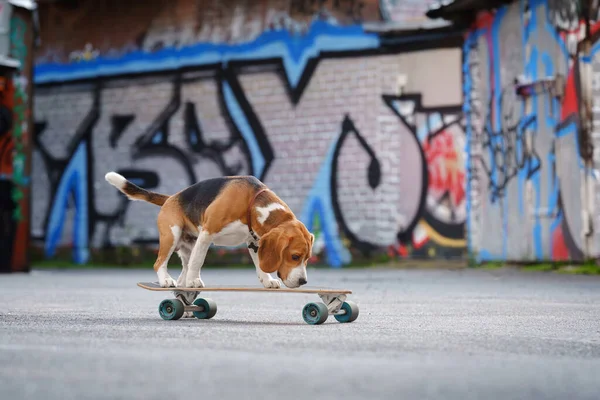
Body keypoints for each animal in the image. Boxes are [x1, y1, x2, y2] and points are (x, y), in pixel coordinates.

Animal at [104, 170, 314, 290]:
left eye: (307, 259)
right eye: (295, 256)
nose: (303, 282)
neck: (252, 202)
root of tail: (172, 197)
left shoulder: (254, 241)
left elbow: (259, 264)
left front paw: (267, 279)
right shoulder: (207, 232)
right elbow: (199, 261)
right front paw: (195, 281)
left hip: (188, 244)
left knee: (185, 266)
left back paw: (182, 282)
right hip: (172, 235)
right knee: (161, 263)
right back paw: (167, 280)